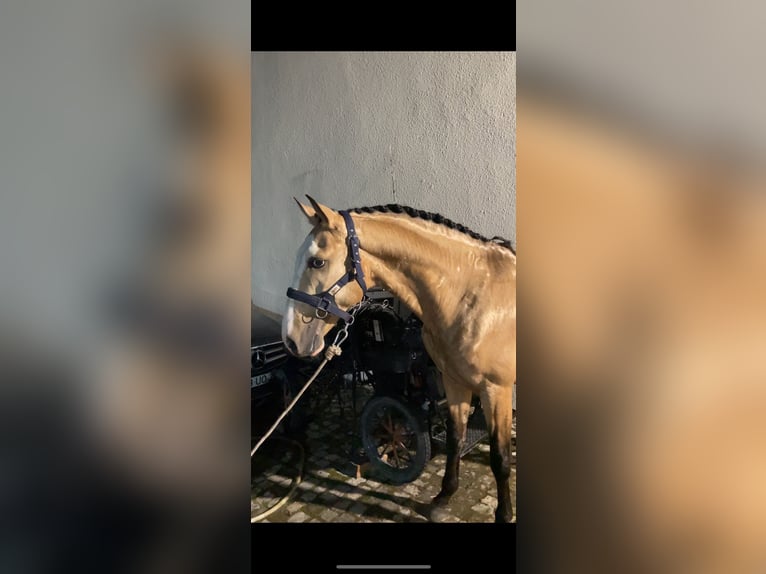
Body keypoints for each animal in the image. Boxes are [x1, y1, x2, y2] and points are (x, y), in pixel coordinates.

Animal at [282, 196, 516, 524]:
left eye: (317, 262)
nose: (291, 339)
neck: (471, 297)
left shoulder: (497, 390)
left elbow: (500, 457)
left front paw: (504, 515)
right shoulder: (454, 381)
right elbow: (456, 439)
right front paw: (444, 497)